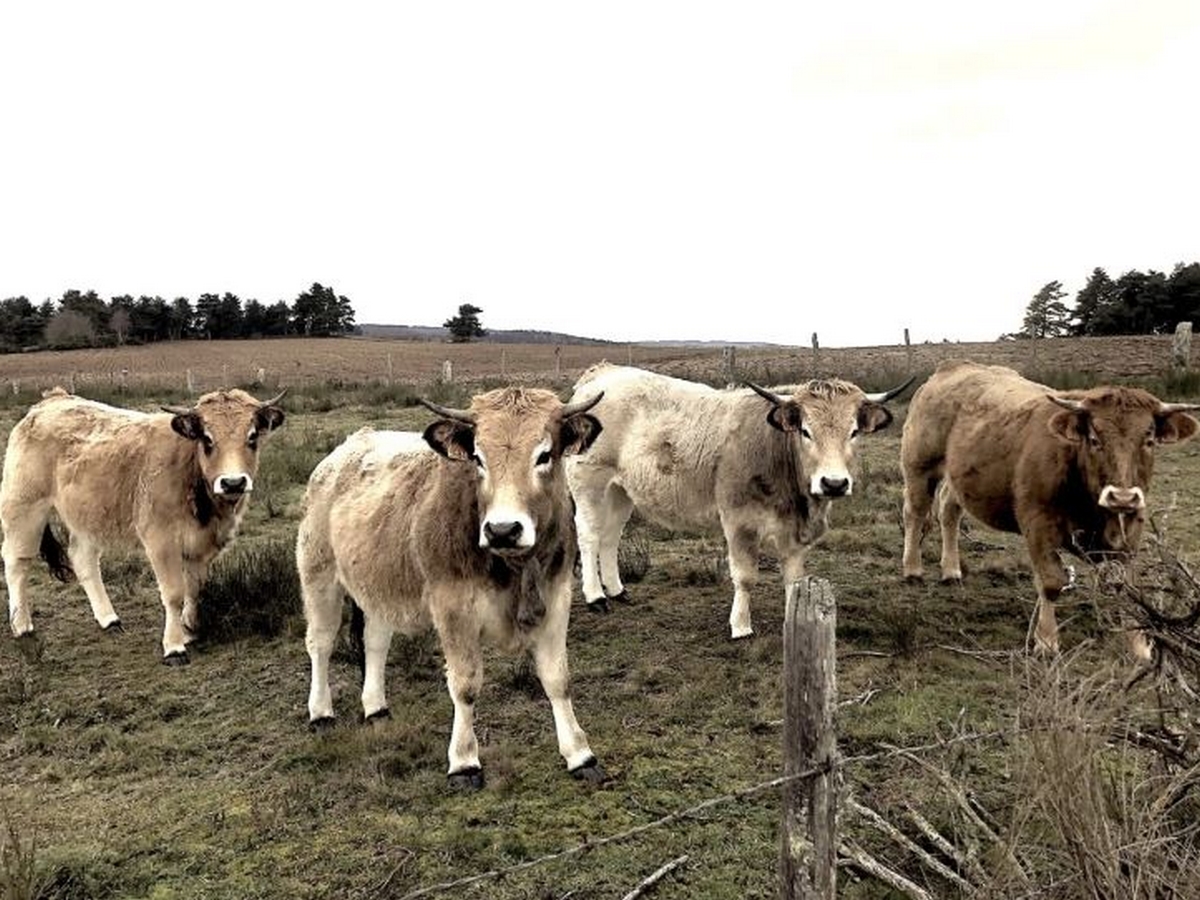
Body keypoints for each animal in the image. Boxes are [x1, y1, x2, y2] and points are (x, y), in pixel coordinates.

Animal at [0, 384, 285, 667]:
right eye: (207, 439)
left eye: (252, 437)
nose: (233, 482)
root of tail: (53, 400)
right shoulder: (161, 542)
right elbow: (174, 593)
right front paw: (174, 646)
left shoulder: (201, 545)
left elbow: (194, 589)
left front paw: (190, 630)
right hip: (24, 508)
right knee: (17, 562)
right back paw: (21, 625)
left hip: (86, 519)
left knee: (83, 560)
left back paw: (109, 619)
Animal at [296, 386, 604, 787]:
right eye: (478, 457)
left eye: (544, 455)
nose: (503, 530)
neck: (513, 567)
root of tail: (344, 450)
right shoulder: (453, 610)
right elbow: (466, 685)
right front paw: (464, 761)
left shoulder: (556, 599)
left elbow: (557, 679)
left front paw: (579, 754)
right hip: (319, 575)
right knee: (320, 643)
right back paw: (320, 712)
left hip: (379, 586)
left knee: (375, 641)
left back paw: (376, 707)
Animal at [561, 362, 907, 638]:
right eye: (806, 431)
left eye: (854, 432)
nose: (834, 483)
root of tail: (603, 373)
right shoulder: (740, 522)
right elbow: (745, 577)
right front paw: (740, 626)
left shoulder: (794, 533)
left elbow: (794, 579)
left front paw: (793, 620)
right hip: (589, 483)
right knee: (590, 536)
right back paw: (596, 597)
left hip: (621, 491)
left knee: (610, 536)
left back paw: (617, 590)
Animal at [902, 360, 1195, 657]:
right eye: (1094, 439)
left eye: (1149, 440)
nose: (1121, 497)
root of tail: (954, 367)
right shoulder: (1038, 524)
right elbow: (1051, 581)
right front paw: (1046, 641)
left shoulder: (1130, 530)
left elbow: (1126, 586)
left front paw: (1138, 646)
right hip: (919, 468)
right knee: (915, 512)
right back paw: (912, 568)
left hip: (957, 476)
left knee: (949, 510)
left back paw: (951, 569)